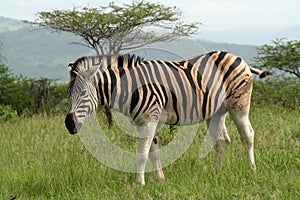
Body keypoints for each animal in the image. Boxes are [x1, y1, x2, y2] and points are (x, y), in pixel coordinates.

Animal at [65, 50, 270, 185]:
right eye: (68, 94)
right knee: (221, 141)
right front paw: (160, 179)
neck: (130, 87)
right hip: (216, 111)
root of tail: (237, 57)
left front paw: (139, 184)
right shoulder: (145, 121)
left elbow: (141, 154)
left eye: (83, 93)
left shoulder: (149, 119)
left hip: (238, 104)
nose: (68, 124)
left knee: (247, 135)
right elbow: (153, 151)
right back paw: (215, 173)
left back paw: (252, 170)